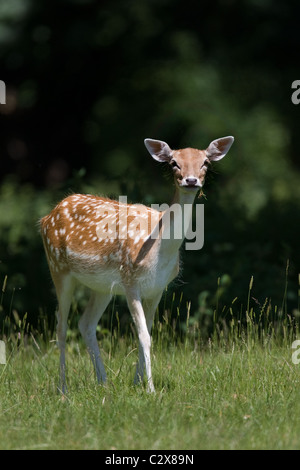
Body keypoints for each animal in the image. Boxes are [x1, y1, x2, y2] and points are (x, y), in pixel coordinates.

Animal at [39, 136, 233, 392]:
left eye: (205, 162)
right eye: (174, 163)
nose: (191, 180)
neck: (158, 252)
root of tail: (47, 216)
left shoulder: (157, 288)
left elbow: (147, 333)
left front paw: (137, 382)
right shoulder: (130, 281)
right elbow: (143, 336)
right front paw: (149, 388)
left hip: (102, 287)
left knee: (85, 323)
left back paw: (103, 382)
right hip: (58, 268)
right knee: (61, 328)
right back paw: (63, 387)